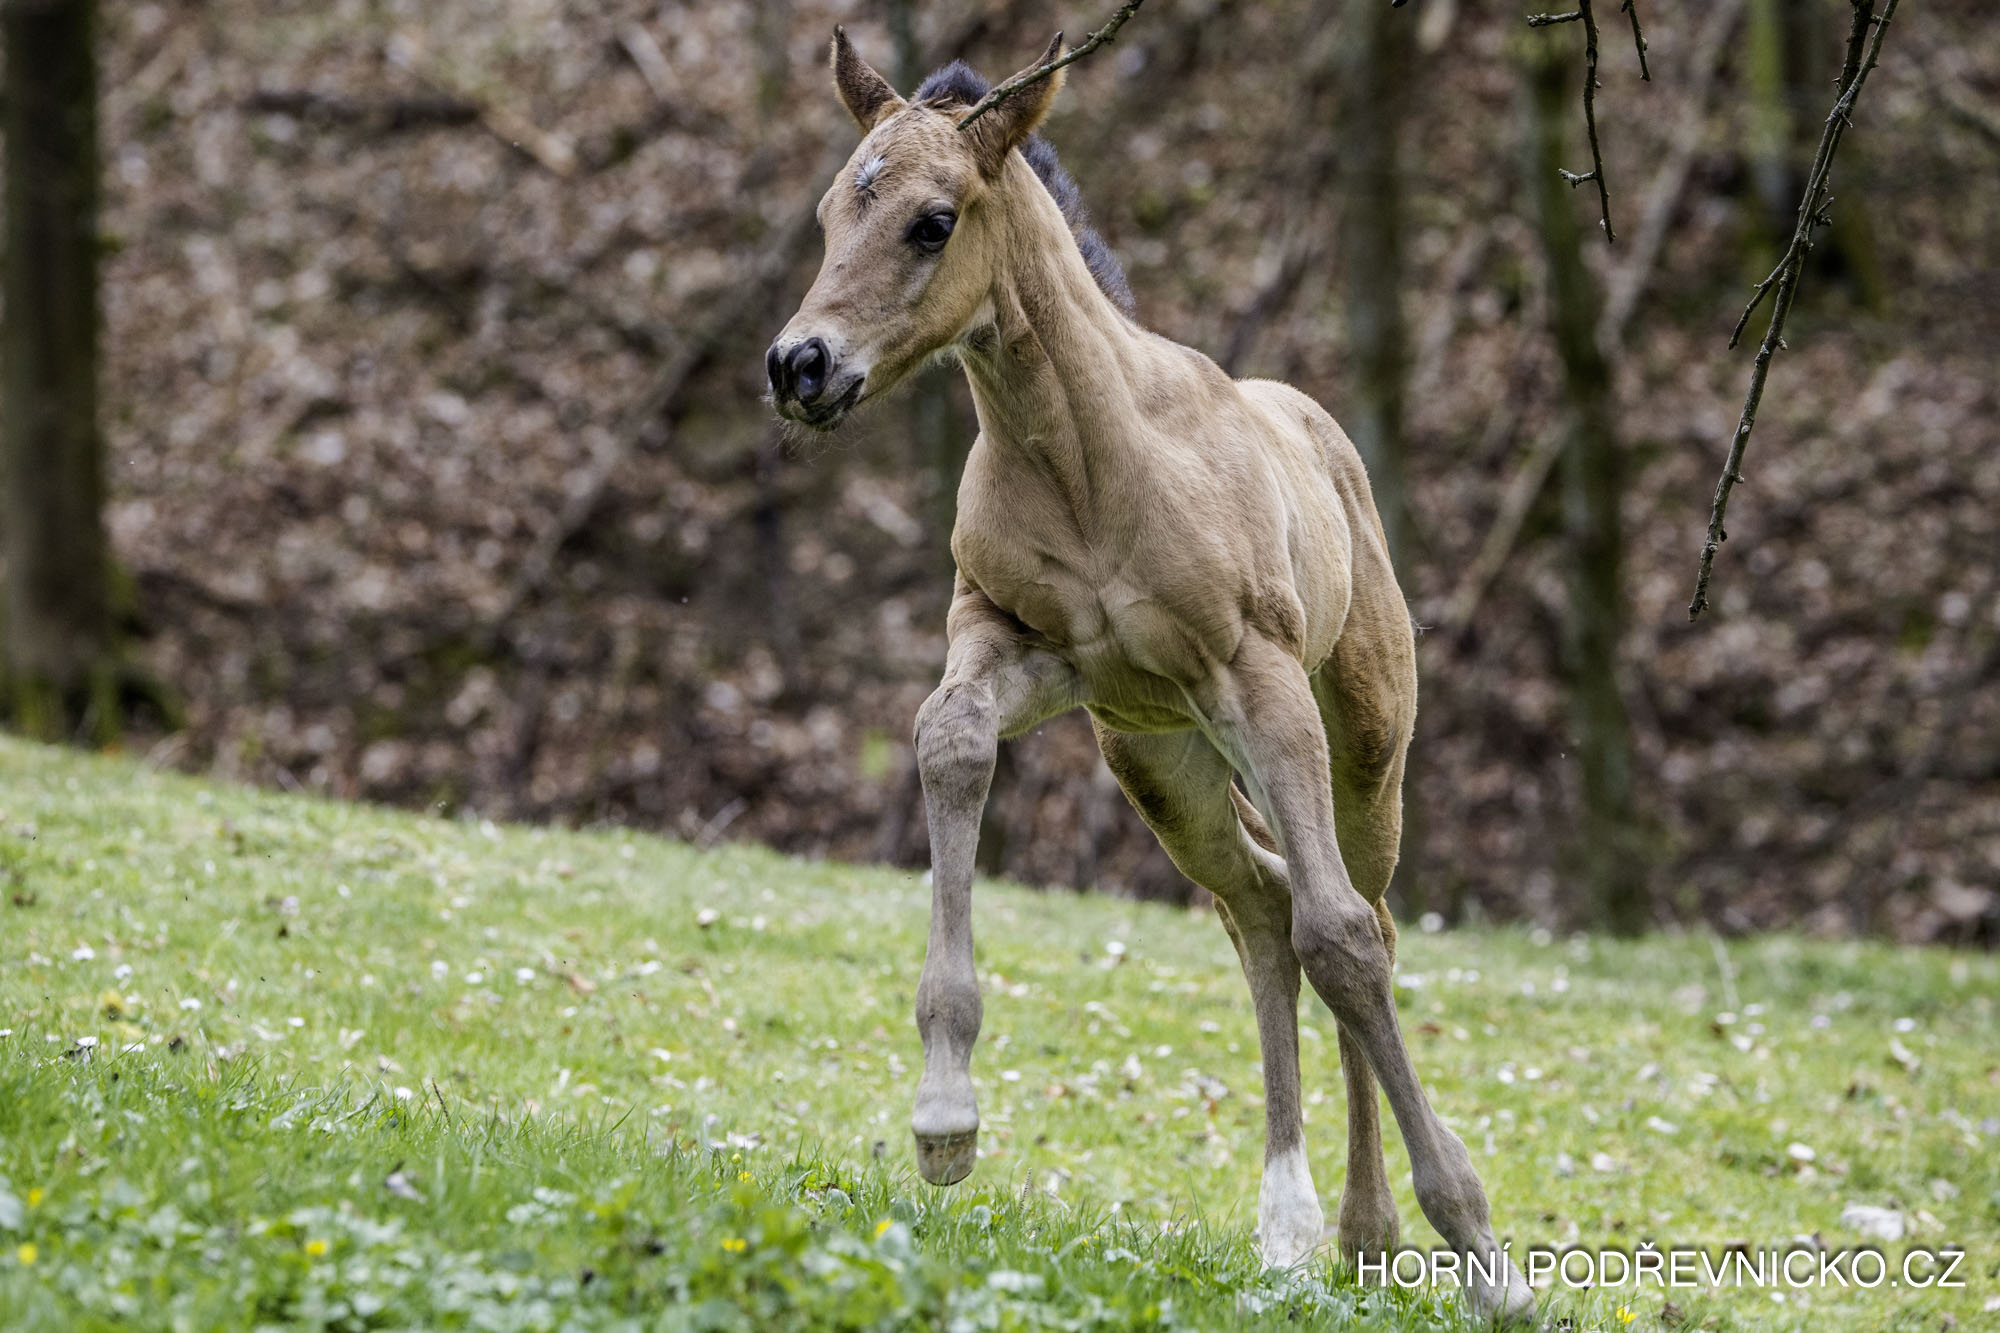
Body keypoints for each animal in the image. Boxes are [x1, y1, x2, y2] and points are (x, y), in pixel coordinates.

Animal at [764, 30, 1537, 1324]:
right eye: (830, 212)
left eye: (932, 222)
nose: (797, 366)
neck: (1086, 455)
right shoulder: (1016, 645)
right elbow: (948, 740)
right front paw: (944, 1118)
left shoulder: (1256, 674)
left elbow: (1343, 939)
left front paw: (1483, 1250)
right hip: (1162, 764)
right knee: (1262, 912)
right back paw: (1289, 1227)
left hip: (1353, 746)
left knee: (1361, 917)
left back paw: (1369, 1230)